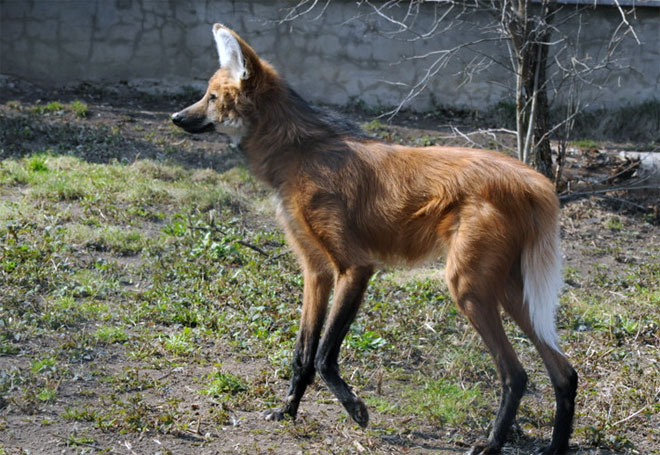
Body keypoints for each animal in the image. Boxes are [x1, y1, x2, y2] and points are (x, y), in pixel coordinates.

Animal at [174, 25, 576, 455]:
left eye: (211, 97)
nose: (175, 117)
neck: (297, 151)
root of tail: (534, 180)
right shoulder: (316, 272)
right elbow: (302, 354)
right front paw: (287, 411)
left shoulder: (355, 268)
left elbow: (323, 356)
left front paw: (356, 410)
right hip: (511, 291)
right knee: (565, 372)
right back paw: (554, 448)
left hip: (468, 288)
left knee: (516, 373)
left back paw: (489, 444)